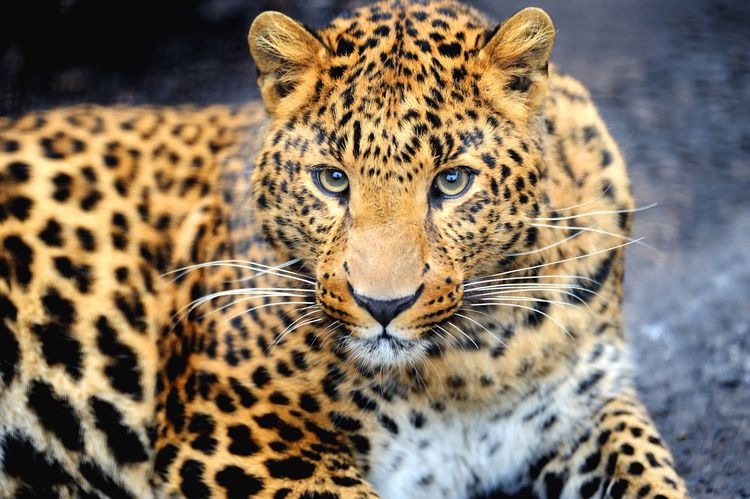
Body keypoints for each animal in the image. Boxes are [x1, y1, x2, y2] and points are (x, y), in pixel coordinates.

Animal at [0, 1, 688, 498]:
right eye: (333, 180)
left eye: (452, 182)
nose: (383, 306)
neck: (467, 367)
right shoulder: (238, 435)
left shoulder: (583, 405)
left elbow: (650, 471)